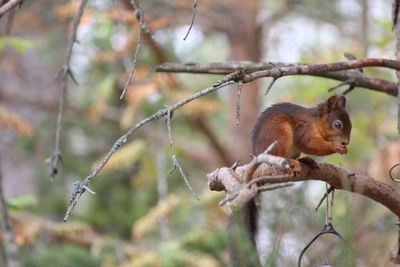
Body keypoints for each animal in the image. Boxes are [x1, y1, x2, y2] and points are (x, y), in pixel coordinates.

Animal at [245, 96, 352, 247]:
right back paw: (291, 162)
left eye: (351, 124)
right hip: (280, 132)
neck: (315, 121)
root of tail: (257, 155)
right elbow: (309, 143)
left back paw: (306, 160)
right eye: (338, 124)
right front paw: (335, 146)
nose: (345, 142)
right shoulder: (305, 129)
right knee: (279, 155)